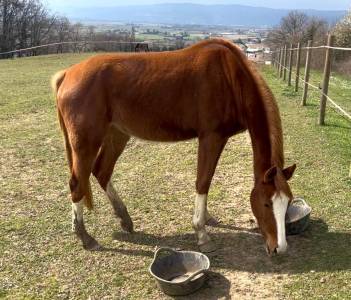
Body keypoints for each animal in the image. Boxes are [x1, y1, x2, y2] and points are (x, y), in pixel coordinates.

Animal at [53, 38, 296, 255]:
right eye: (266, 203)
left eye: (288, 202)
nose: (279, 248)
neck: (229, 77)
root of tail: (67, 74)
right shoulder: (211, 137)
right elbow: (203, 181)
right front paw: (201, 233)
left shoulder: (219, 139)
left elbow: (207, 179)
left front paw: (206, 218)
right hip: (86, 143)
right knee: (77, 183)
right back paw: (86, 237)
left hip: (117, 134)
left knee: (102, 172)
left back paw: (125, 220)